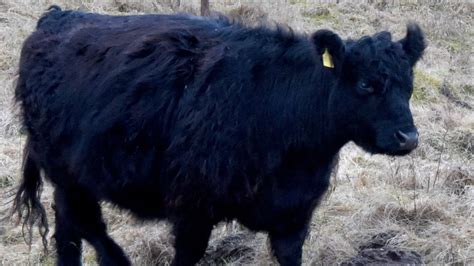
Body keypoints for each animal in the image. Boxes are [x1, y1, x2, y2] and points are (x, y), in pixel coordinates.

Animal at [12, 5, 426, 266]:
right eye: (365, 84)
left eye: (408, 85)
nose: (408, 137)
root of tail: (57, 17)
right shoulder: (193, 209)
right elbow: (186, 257)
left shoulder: (294, 215)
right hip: (66, 171)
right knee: (85, 222)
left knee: (69, 232)